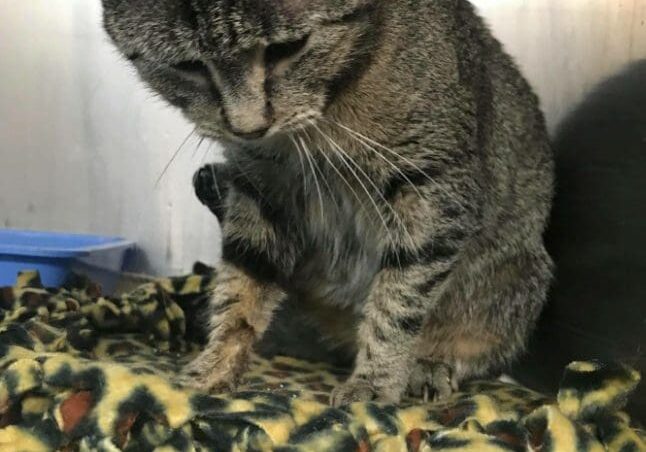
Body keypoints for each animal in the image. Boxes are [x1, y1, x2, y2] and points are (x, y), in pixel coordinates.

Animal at [104, 0, 556, 402]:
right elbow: (241, 283)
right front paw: (216, 365)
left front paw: (376, 379)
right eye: (188, 66)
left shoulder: (434, 188)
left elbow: (401, 297)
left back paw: (430, 363)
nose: (248, 128)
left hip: (517, 279)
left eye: (286, 49)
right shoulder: (262, 188)